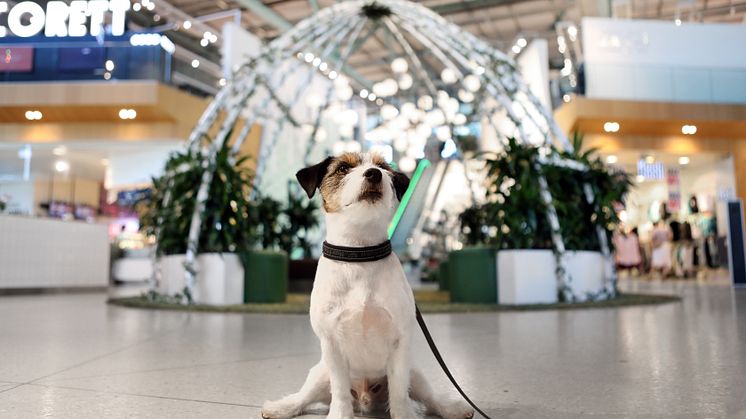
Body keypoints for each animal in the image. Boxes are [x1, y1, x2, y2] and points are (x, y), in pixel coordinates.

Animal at [260, 153, 470, 419]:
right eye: (342, 168)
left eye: (382, 167)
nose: (374, 173)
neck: (359, 252)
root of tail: (365, 397)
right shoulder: (331, 345)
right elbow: (339, 392)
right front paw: (339, 415)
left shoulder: (400, 342)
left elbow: (399, 391)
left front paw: (404, 414)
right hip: (320, 372)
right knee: (304, 396)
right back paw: (282, 407)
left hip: (415, 373)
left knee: (429, 397)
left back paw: (451, 408)